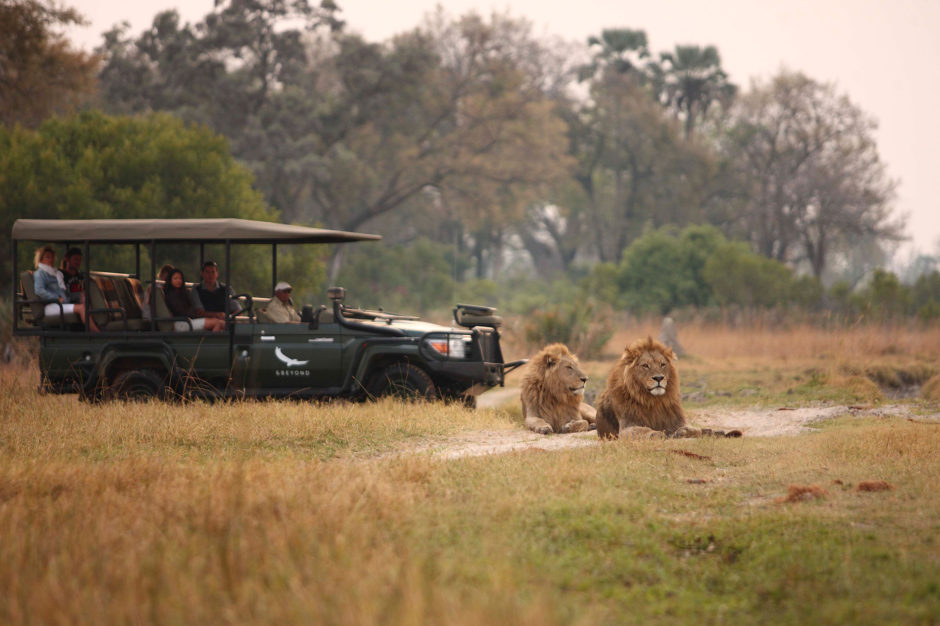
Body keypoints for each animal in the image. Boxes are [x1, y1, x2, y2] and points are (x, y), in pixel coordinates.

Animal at [596, 336, 740, 438]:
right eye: (645, 365)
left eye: (662, 364)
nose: (659, 378)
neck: (654, 400)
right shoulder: (627, 426)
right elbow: (643, 430)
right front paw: (658, 433)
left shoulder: (676, 421)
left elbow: (692, 429)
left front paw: (688, 432)